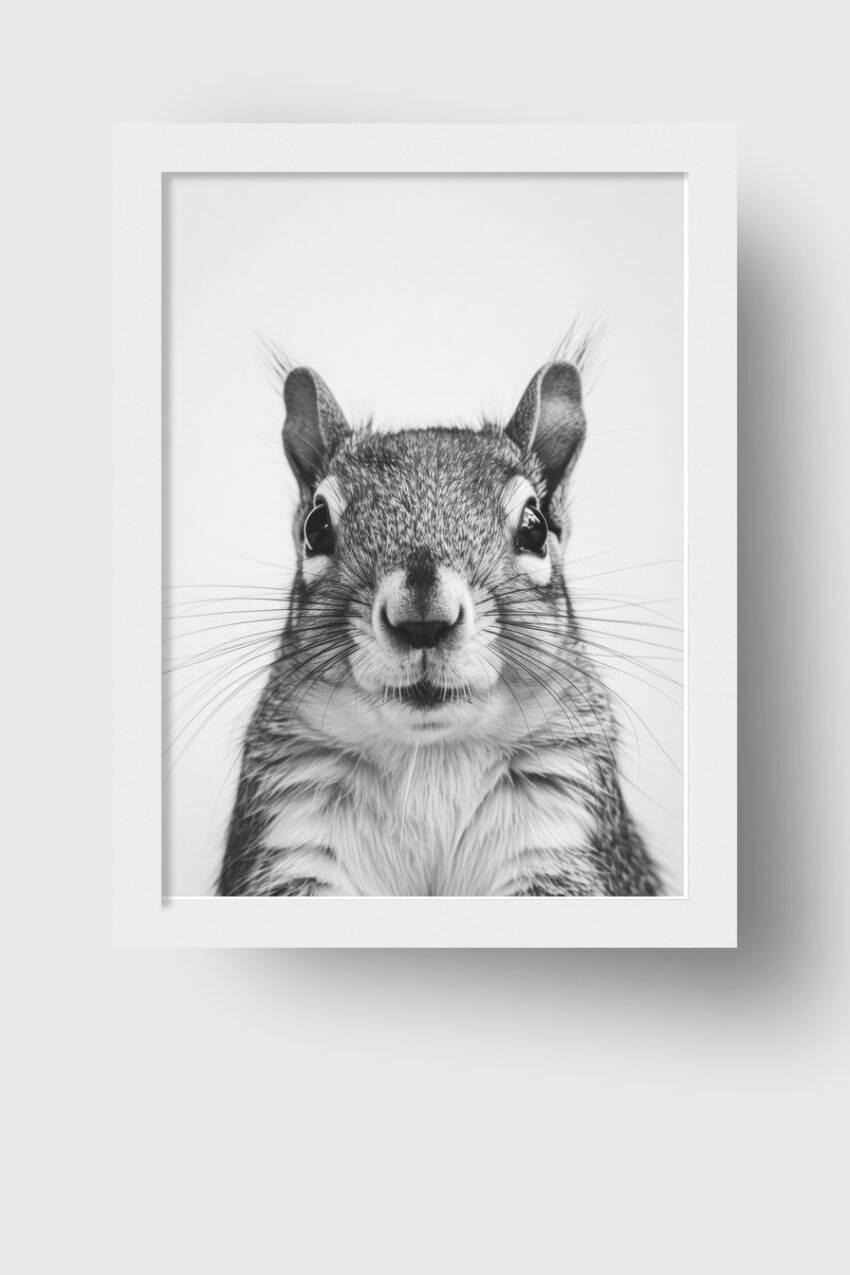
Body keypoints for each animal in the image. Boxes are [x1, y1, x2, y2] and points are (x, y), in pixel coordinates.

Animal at [217, 356, 662, 897]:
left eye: (534, 528)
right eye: (315, 527)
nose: (423, 620)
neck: (430, 759)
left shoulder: (559, 831)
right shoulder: (294, 834)